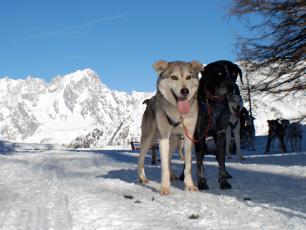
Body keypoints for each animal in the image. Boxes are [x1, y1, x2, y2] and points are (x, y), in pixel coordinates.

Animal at [138, 60, 203, 195]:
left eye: (188, 77)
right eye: (174, 77)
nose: (185, 91)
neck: (178, 115)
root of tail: (150, 100)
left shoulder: (188, 138)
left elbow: (188, 166)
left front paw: (189, 185)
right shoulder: (163, 138)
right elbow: (163, 167)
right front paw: (164, 187)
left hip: (174, 141)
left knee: (168, 159)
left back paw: (172, 175)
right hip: (148, 139)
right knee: (140, 159)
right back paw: (142, 178)